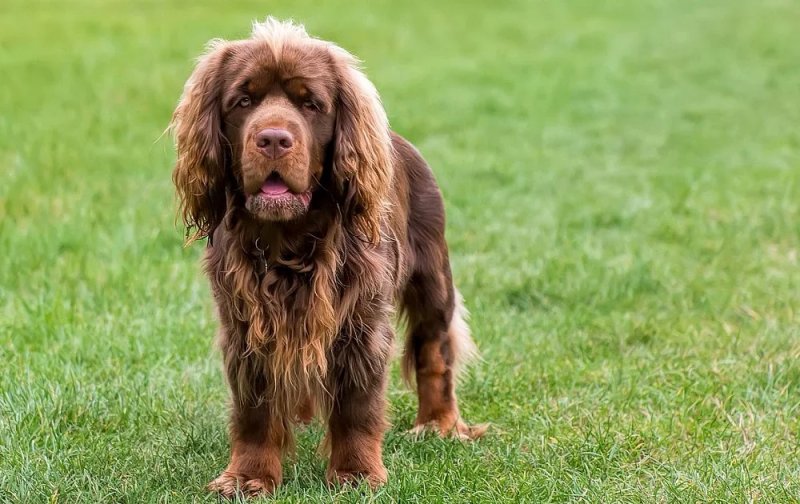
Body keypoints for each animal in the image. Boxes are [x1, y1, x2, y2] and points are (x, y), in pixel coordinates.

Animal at [170, 17, 484, 498]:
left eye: (310, 103)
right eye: (243, 100)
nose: (273, 139)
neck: (287, 241)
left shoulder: (360, 322)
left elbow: (357, 404)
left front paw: (356, 473)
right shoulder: (245, 324)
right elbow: (254, 410)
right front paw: (247, 476)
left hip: (433, 279)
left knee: (436, 352)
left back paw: (439, 424)